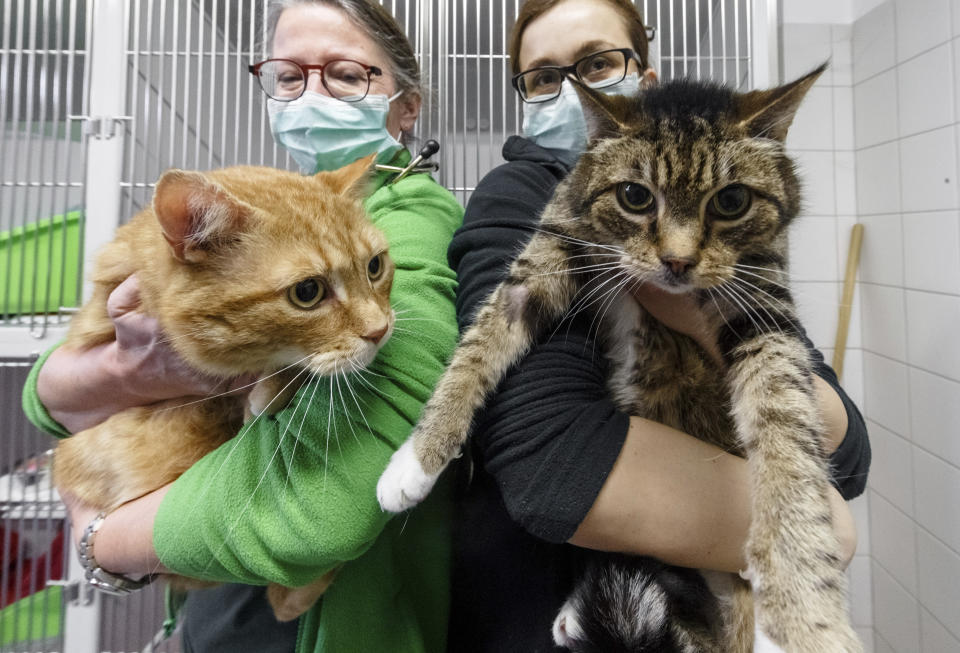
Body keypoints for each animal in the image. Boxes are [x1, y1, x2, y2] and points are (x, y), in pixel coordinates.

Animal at [376, 67, 864, 652]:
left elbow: (787, 431)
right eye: (634, 195)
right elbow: (479, 343)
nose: (677, 261)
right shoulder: (550, 249)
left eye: (731, 201)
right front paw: (416, 459)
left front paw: (801, 616)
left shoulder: (765, 309)